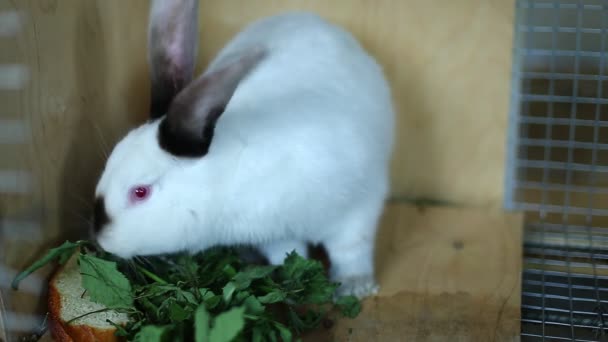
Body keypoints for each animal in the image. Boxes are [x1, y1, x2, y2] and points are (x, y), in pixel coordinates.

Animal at [91, 0, 394, 298]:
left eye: (140, 192)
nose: (101, 240)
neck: (227, 176)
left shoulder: (356, 206)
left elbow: (351, 249)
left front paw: (354, 287)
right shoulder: (276, 233)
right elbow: (288, 253)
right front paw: (288, 279)